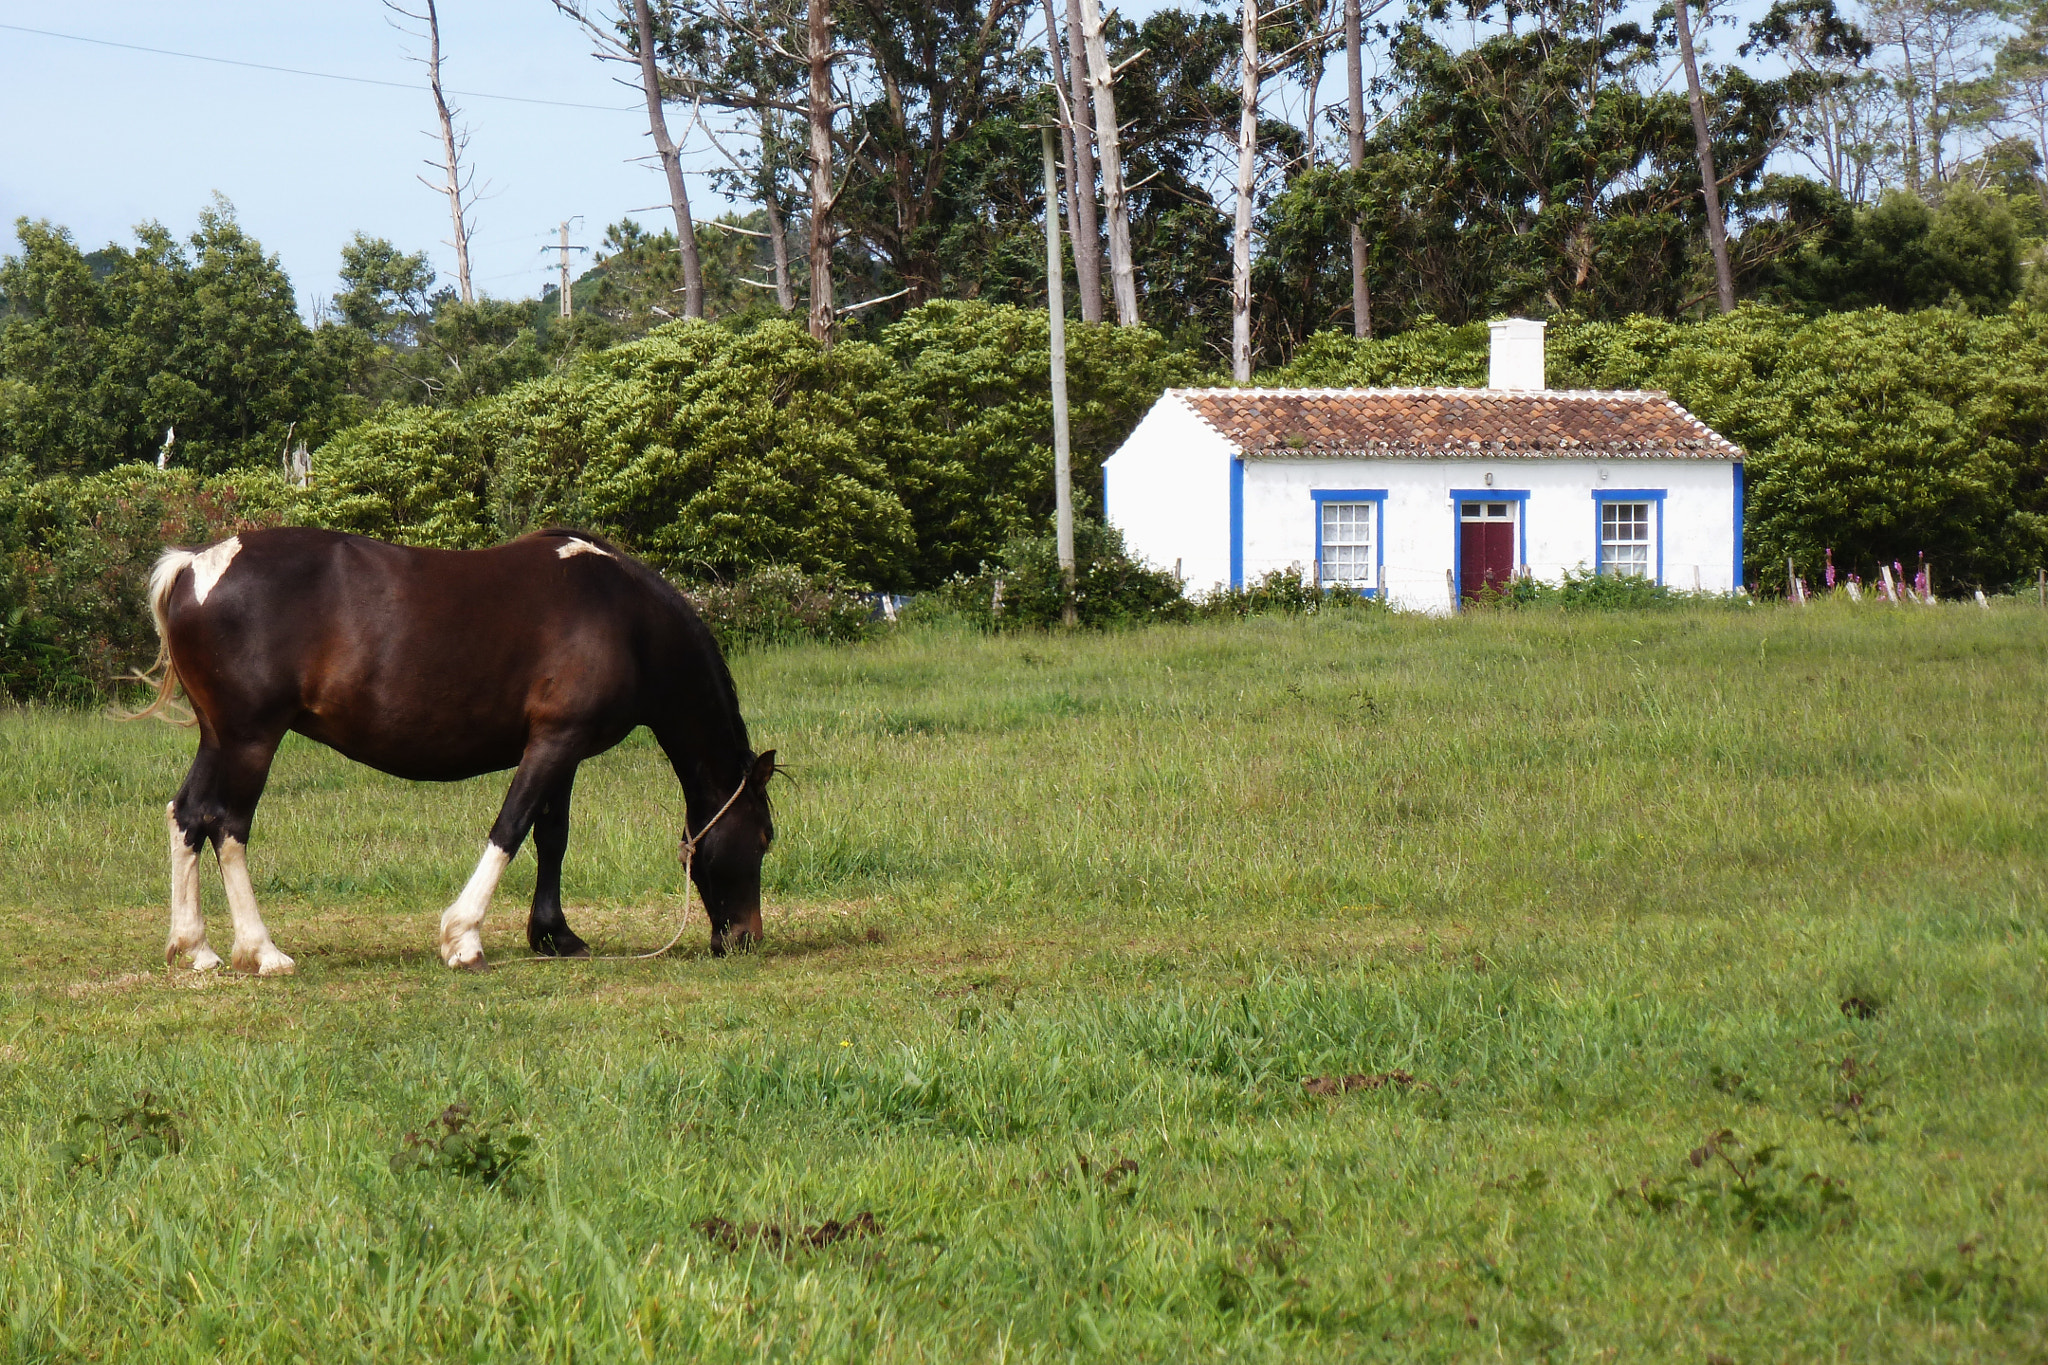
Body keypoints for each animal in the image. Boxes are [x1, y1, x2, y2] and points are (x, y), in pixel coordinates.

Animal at [138, 527, 774, 978]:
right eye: (765, 838)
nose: (745, 938)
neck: (623, 614)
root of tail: (194, 567)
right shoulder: (554, 741)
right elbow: (512, 827)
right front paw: (463, 937)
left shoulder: (564, 749)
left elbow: (551, 836)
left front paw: (555, 935)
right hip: (250, 740)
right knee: (227, 824)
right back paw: (262, 951)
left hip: (219, 739)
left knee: (188, 815)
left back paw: (196, 947)